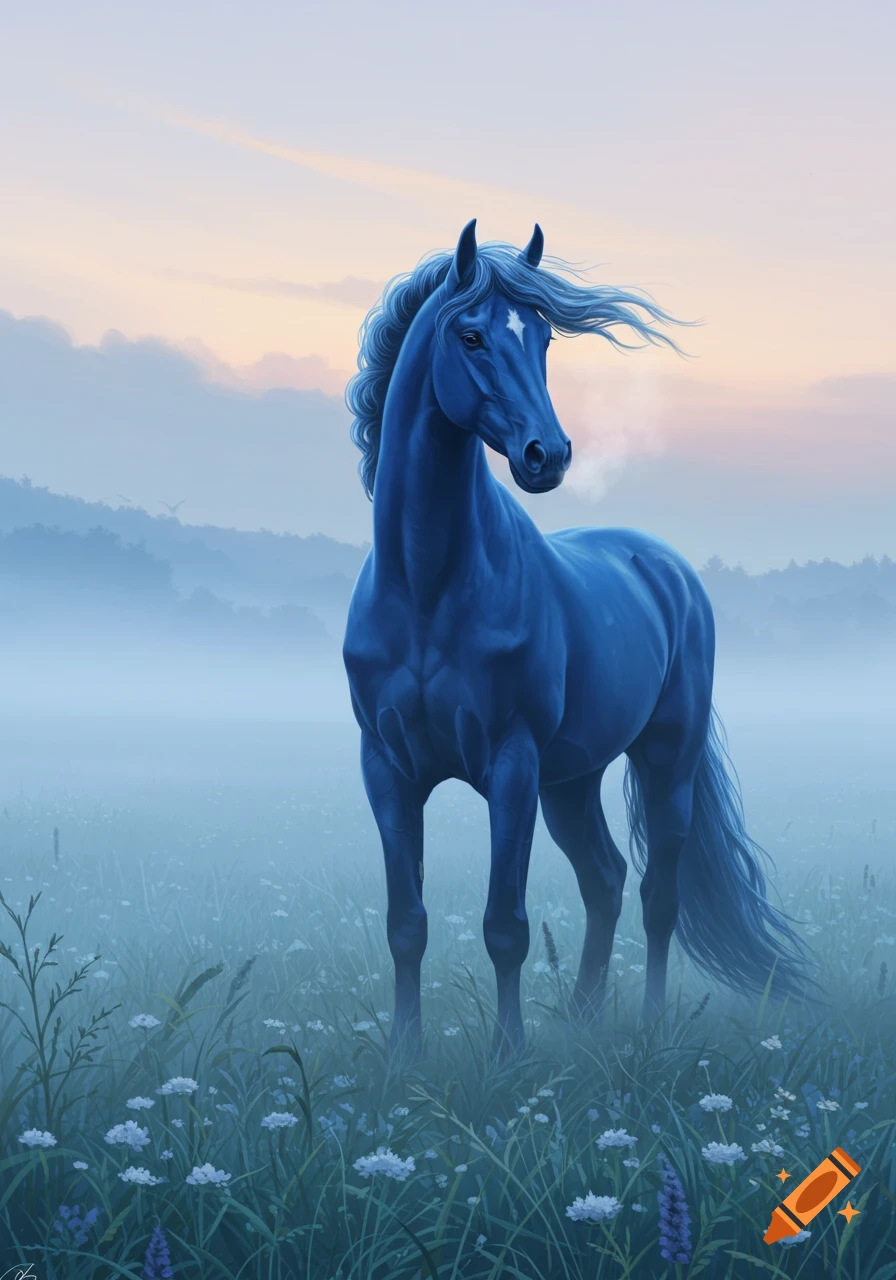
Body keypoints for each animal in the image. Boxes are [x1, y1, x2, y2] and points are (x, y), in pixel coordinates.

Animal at [342, 219, 812, 1055]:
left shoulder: (512, 765)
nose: (548, 456)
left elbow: (505, 924)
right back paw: (588, 1016)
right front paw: (405, 1052)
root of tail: (665, 567)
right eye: (470, 335)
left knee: (657, 892)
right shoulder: (388, 768)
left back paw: (648, 1024)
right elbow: (407, 923)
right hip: (571, 781)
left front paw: (508, 1054)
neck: (427, 589)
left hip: (663, 762)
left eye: (543, 339)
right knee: (606, 879)